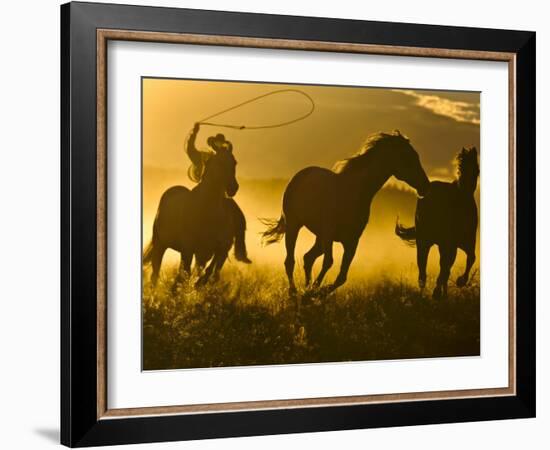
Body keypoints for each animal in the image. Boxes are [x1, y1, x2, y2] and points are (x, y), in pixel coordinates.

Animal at [264, 130, 432, 296]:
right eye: (408, 157)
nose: (425, 186)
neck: (354, 192)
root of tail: (300, 175)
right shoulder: (329, 234)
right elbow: (329, 262)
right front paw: (315, 291)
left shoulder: (352, 241)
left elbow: (342, 277)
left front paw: (317, 291)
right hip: (295, 225)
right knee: (290, 261)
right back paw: (293, 292)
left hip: (319, 237)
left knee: (308, 258)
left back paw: (306, 287)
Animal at [396, 146, 484, 298]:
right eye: (461, 168)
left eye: (476, 169)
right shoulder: (450, 243)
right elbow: (445, 266)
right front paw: (438, 291)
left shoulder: (465, 242)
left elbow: (469, 258)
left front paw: (459, 282)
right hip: (424, 241)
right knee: (422, 269)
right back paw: (424, 292)